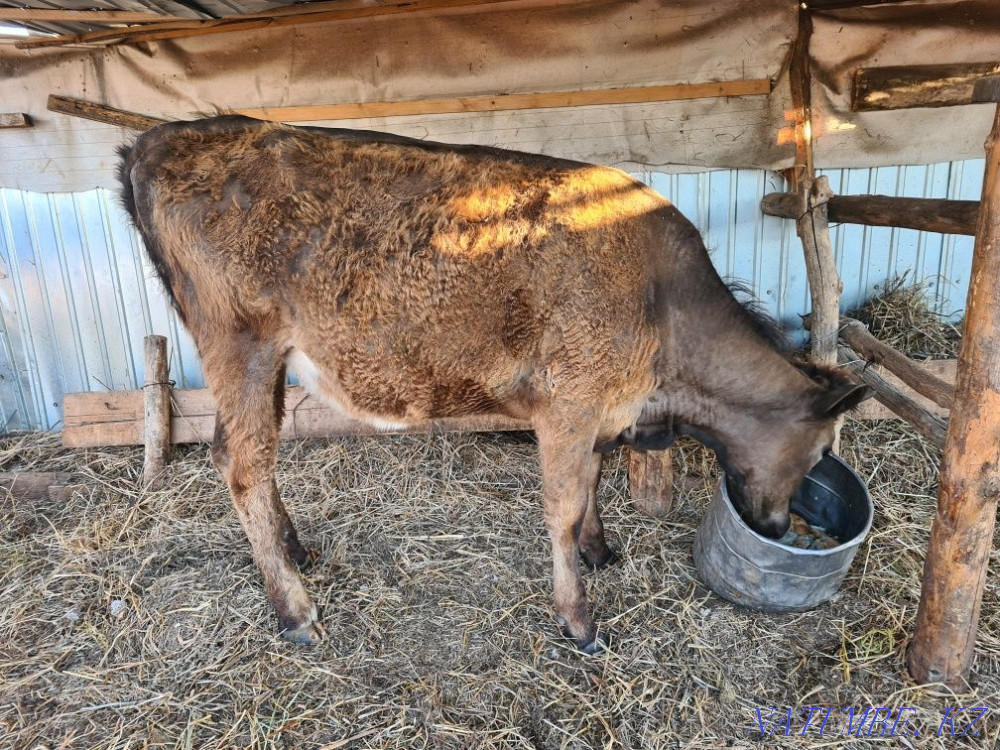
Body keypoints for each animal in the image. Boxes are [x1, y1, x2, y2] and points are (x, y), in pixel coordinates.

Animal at [117, 116, 868, 653]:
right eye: (817, 452)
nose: (777, 527)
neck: (665, 316)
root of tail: (160, 139)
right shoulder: (570, 399)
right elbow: (562, 505)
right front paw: (578, 620)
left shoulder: (597, 408)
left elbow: (591, 484)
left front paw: (599, 550)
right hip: (238, 339)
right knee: (240, 461)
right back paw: (296, 609)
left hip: (265, 359)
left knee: (258, 454)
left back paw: (296, 549)